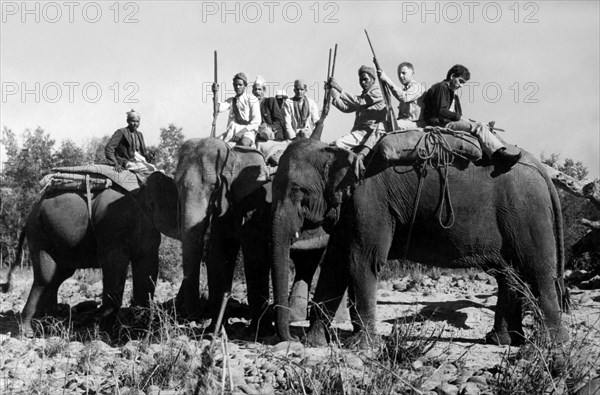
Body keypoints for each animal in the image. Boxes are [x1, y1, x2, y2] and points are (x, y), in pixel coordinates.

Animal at [0, 170, 178, 338]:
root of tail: (28, 217)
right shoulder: (112, 230)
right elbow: (113, 270)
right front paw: (106, 335)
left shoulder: (148, 234)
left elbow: (148, 273)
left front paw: (140, 332)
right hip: (39, 235)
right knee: (45, 278)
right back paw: (29, 332)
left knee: (57, 277)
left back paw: (48, 326)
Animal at [270, 138, 568, 348]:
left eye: (297, 191)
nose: (291, 339)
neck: (343, 152)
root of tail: (543, 171)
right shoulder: (349, 213)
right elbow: (334, 267)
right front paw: (314, 343)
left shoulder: (369, 202)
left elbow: (361, 261)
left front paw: (361, 346)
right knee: (509, 274)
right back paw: (503, 341)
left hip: (527, 213)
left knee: (537, 271)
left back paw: (548, 345)